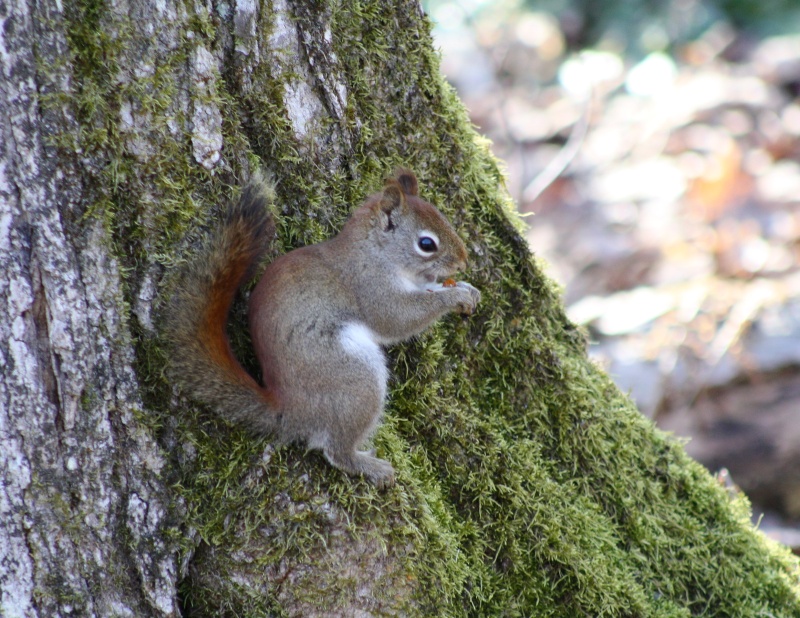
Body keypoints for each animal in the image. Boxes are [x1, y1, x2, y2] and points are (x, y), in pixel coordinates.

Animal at [167, 168, 482, 486]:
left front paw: (466, 289)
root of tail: (288, 408)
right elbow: (396, 317)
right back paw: (370, 466)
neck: (374, 252)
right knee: (335, 450)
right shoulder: (369, 287)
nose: (463, 262)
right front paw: (453, 297)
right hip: (354, 380)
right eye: (427, 244)